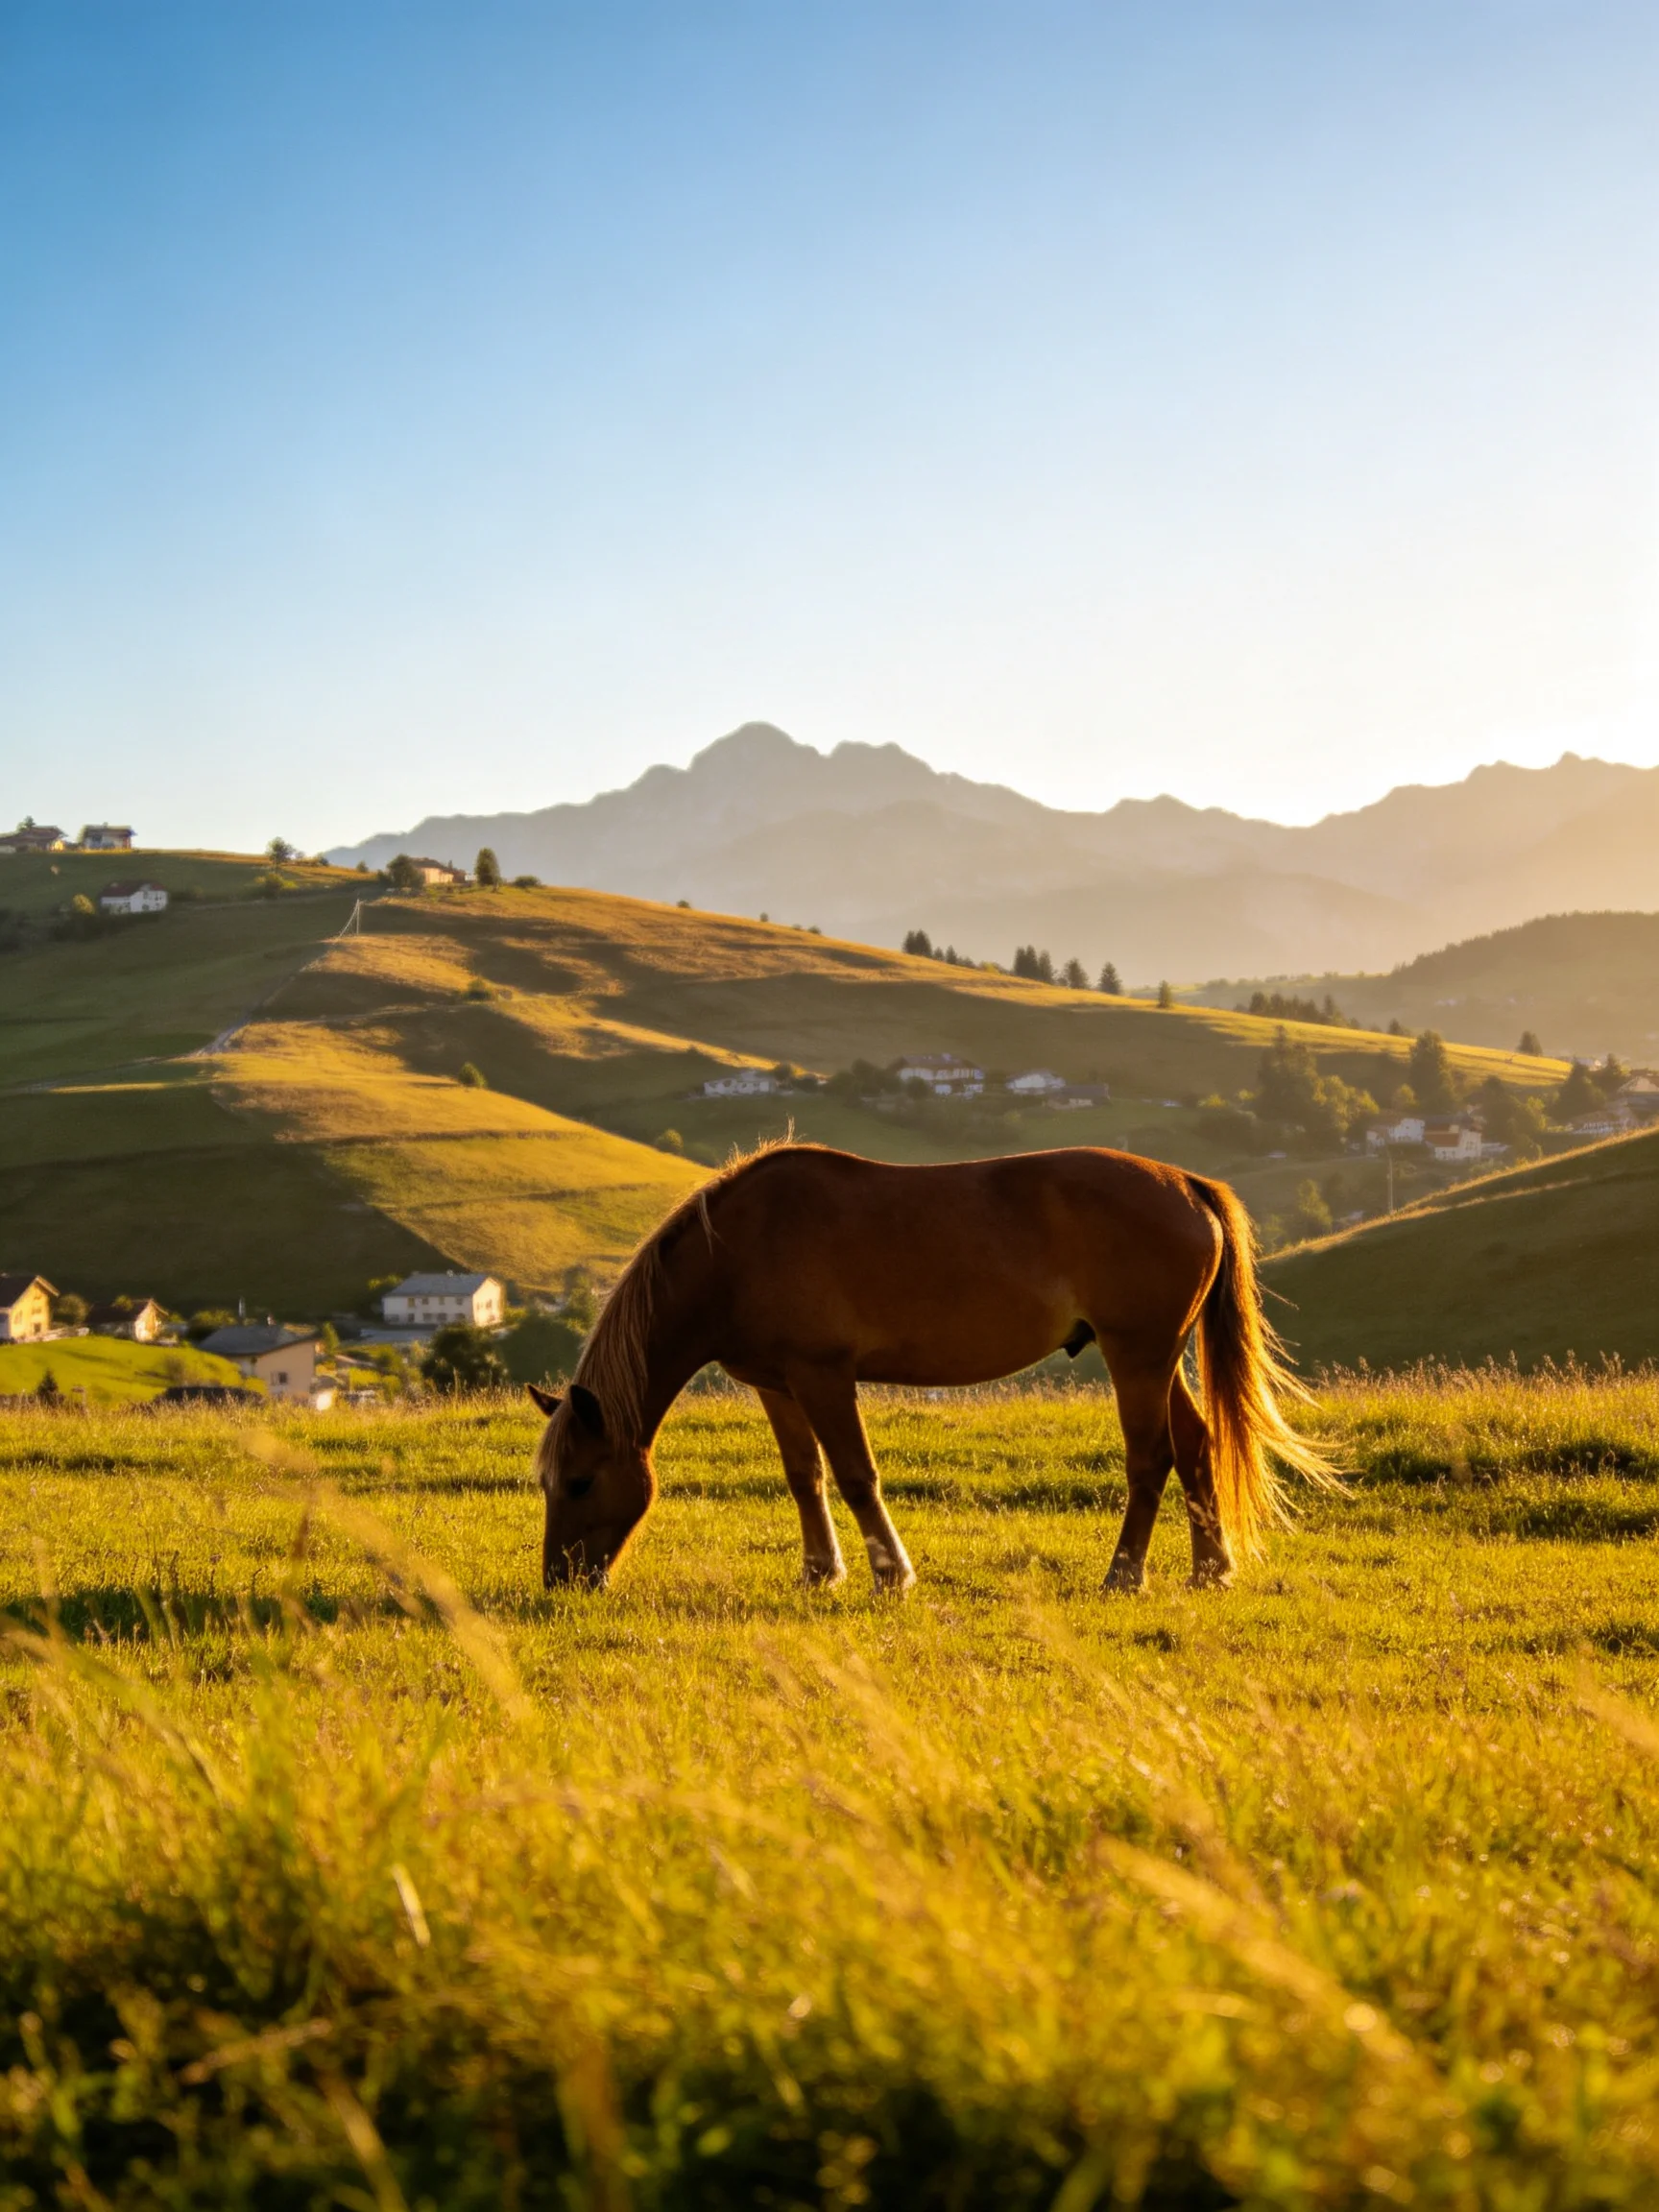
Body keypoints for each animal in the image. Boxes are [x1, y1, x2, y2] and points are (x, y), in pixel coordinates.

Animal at [529, 1142, 1332, 1594]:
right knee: (1196, 1447)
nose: (560, 1581)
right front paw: (820, 1573)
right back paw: (1210, 1570)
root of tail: (1184, 1184)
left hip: (1137, 1355)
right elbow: (804, 1476)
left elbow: (855, 1475)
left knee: (1151, 1459)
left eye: (580, 1481)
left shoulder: (824, 1377)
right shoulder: (777, 1385)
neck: (738, 1247)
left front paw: (891, 1575)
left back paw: (1124, 1575)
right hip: (1159, 1359)